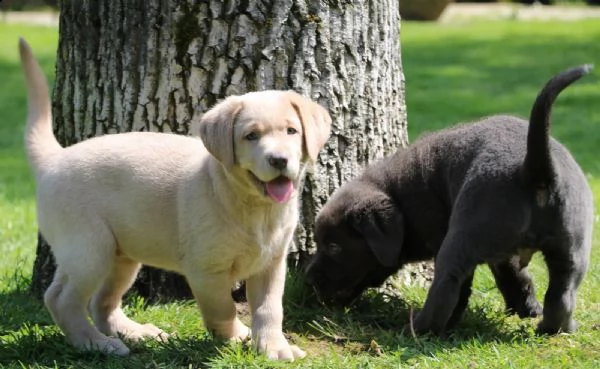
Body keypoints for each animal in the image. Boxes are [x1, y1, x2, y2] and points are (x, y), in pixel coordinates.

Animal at [18, 39, 330, 360]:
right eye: (251, 136)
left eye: (291, 131)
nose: (279, 160)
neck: (254, 207)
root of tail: (55, 158)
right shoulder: (206, 269)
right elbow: (223, 308)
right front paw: (233, 336)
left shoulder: (271, 263)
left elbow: (269, 309)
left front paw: (273, 347)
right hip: (90, 248)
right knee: (62, 299)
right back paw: (95, 343)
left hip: (118, 255)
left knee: (96, 300)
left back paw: (135, 333)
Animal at [308, 64, 592, 334]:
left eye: (333, 246)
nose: (308, 277)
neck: (401, 195)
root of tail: (531, 171)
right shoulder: (503, 253)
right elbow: (514, 275)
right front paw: (526, 308)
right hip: (573, 246)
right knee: (562, 293)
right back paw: (556, 328)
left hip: (460, 238)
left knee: (446, 288)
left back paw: (417, 329)